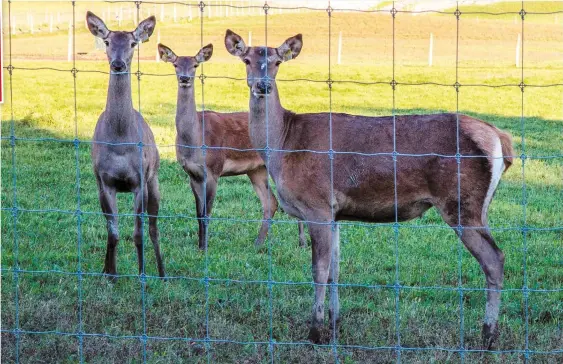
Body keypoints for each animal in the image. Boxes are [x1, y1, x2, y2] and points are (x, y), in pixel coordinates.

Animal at [86, 11, 165, 278]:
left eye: (132, 43)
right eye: (107, 41)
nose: (118, 64)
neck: (120, 142)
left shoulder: (139, 180)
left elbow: (138, 233)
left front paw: (142, 274)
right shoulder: (104, 181)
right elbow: (113, 233)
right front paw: (110, 274)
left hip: (154, 180)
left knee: (153, 227)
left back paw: (162, 273)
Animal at [156, 42, 306, 250]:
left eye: (195, 65)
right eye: (176, 64)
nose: (185, 78)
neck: (195, 140)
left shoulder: (213, 169)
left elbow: (207, 213)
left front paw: (205, 247)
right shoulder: (191, 174)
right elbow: (198, 213)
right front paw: (199, 246)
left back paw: (302, 243)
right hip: (256, 169)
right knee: (271, 202)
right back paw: (258, 243)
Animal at [226, 29, 516, 350]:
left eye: (277, 62)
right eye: (247, 60)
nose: (262, 86)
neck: (283, 146)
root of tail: (500, 139)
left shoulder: (316, 205)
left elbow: (319, 270)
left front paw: (315, 332)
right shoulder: (334, 214)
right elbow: (335, 270)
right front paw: (335, 324)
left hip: (461, 203)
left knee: (495, 259)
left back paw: (488, 335)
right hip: (478, 206)